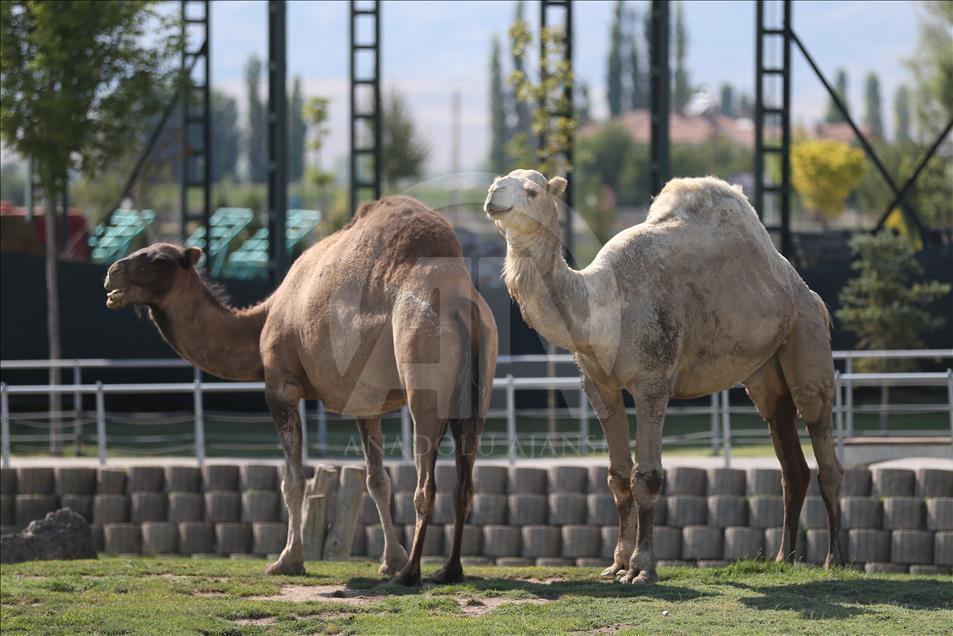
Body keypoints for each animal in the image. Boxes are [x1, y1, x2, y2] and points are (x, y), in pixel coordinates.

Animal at [104, 196, 498, 584]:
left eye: (157, 259)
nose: (111, 273)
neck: (262, 320)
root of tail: (463, 304)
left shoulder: (281, 386)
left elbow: (294, 481)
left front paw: (287, 560)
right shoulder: (364, 400)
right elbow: (377, 481)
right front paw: (390, 560)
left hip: (422, 367)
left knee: (425, 483)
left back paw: (412, 573)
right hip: (478, 389)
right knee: (464, 484)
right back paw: (448, 570)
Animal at [488, 168, 844, 580]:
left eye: (531, 191)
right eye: (499, 181)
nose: (493, 196)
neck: (603, 305)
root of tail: (805, 289)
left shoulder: (653, 381)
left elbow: (647, 476)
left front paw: (641, 568)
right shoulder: (598, 385)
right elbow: (617, 476)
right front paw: (616, 564)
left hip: (807, 335)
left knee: (821, 437)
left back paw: (835, 559)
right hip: (765, 372)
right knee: (788, 455)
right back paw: (783, 557)